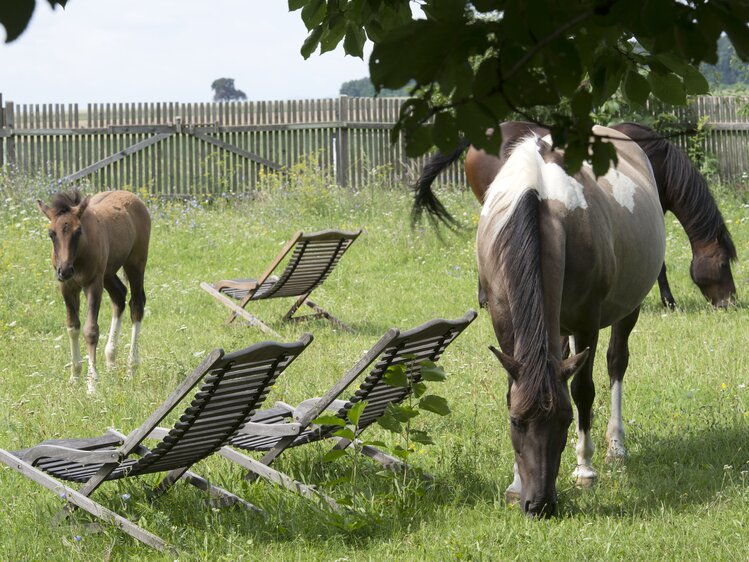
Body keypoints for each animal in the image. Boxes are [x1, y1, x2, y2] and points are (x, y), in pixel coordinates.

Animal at [38, 190, 150, 392]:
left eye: (78, 231)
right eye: (51, 233)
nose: (65, 270)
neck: (78, 256)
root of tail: (133, 197)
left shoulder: (93, 284)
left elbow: (90, 330)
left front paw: (92, 383)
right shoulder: (67, 287)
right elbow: (73, 327)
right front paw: (74, 377)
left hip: (135, 264)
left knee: (136, 305)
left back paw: (131, 369)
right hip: (108, 273)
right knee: (119, 296)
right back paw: (111, 362)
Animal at [476, 127, 664, 516]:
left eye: (563, 420)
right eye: (516, 422)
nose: (539, 505)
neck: (538, 201)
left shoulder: (586, 320)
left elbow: (582, 390)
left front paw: (584, 469)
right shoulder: (503, 321)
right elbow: (513, 388)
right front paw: (514, 484)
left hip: (627, 309)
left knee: (616, 364)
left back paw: (615, 446)